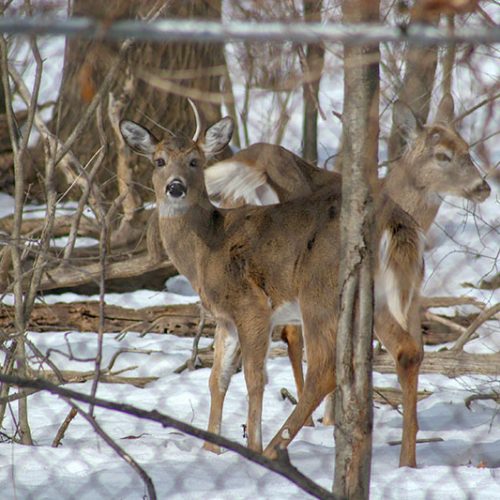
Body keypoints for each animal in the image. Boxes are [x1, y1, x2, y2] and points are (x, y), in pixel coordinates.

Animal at [119, 107, 424, 466]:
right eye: (159, 160)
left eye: (195, 161)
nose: (175, 187)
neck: (207, 247)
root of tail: (394, 221)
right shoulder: (225, 317)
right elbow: (217, 378)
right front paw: (210, 448)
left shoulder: (251, 305)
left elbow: (254, 378)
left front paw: (250, 445)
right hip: (388, 297)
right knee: (408, 351)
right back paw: (407, 460)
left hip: (319, 291)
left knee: (324, 367)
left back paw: (273, 449)